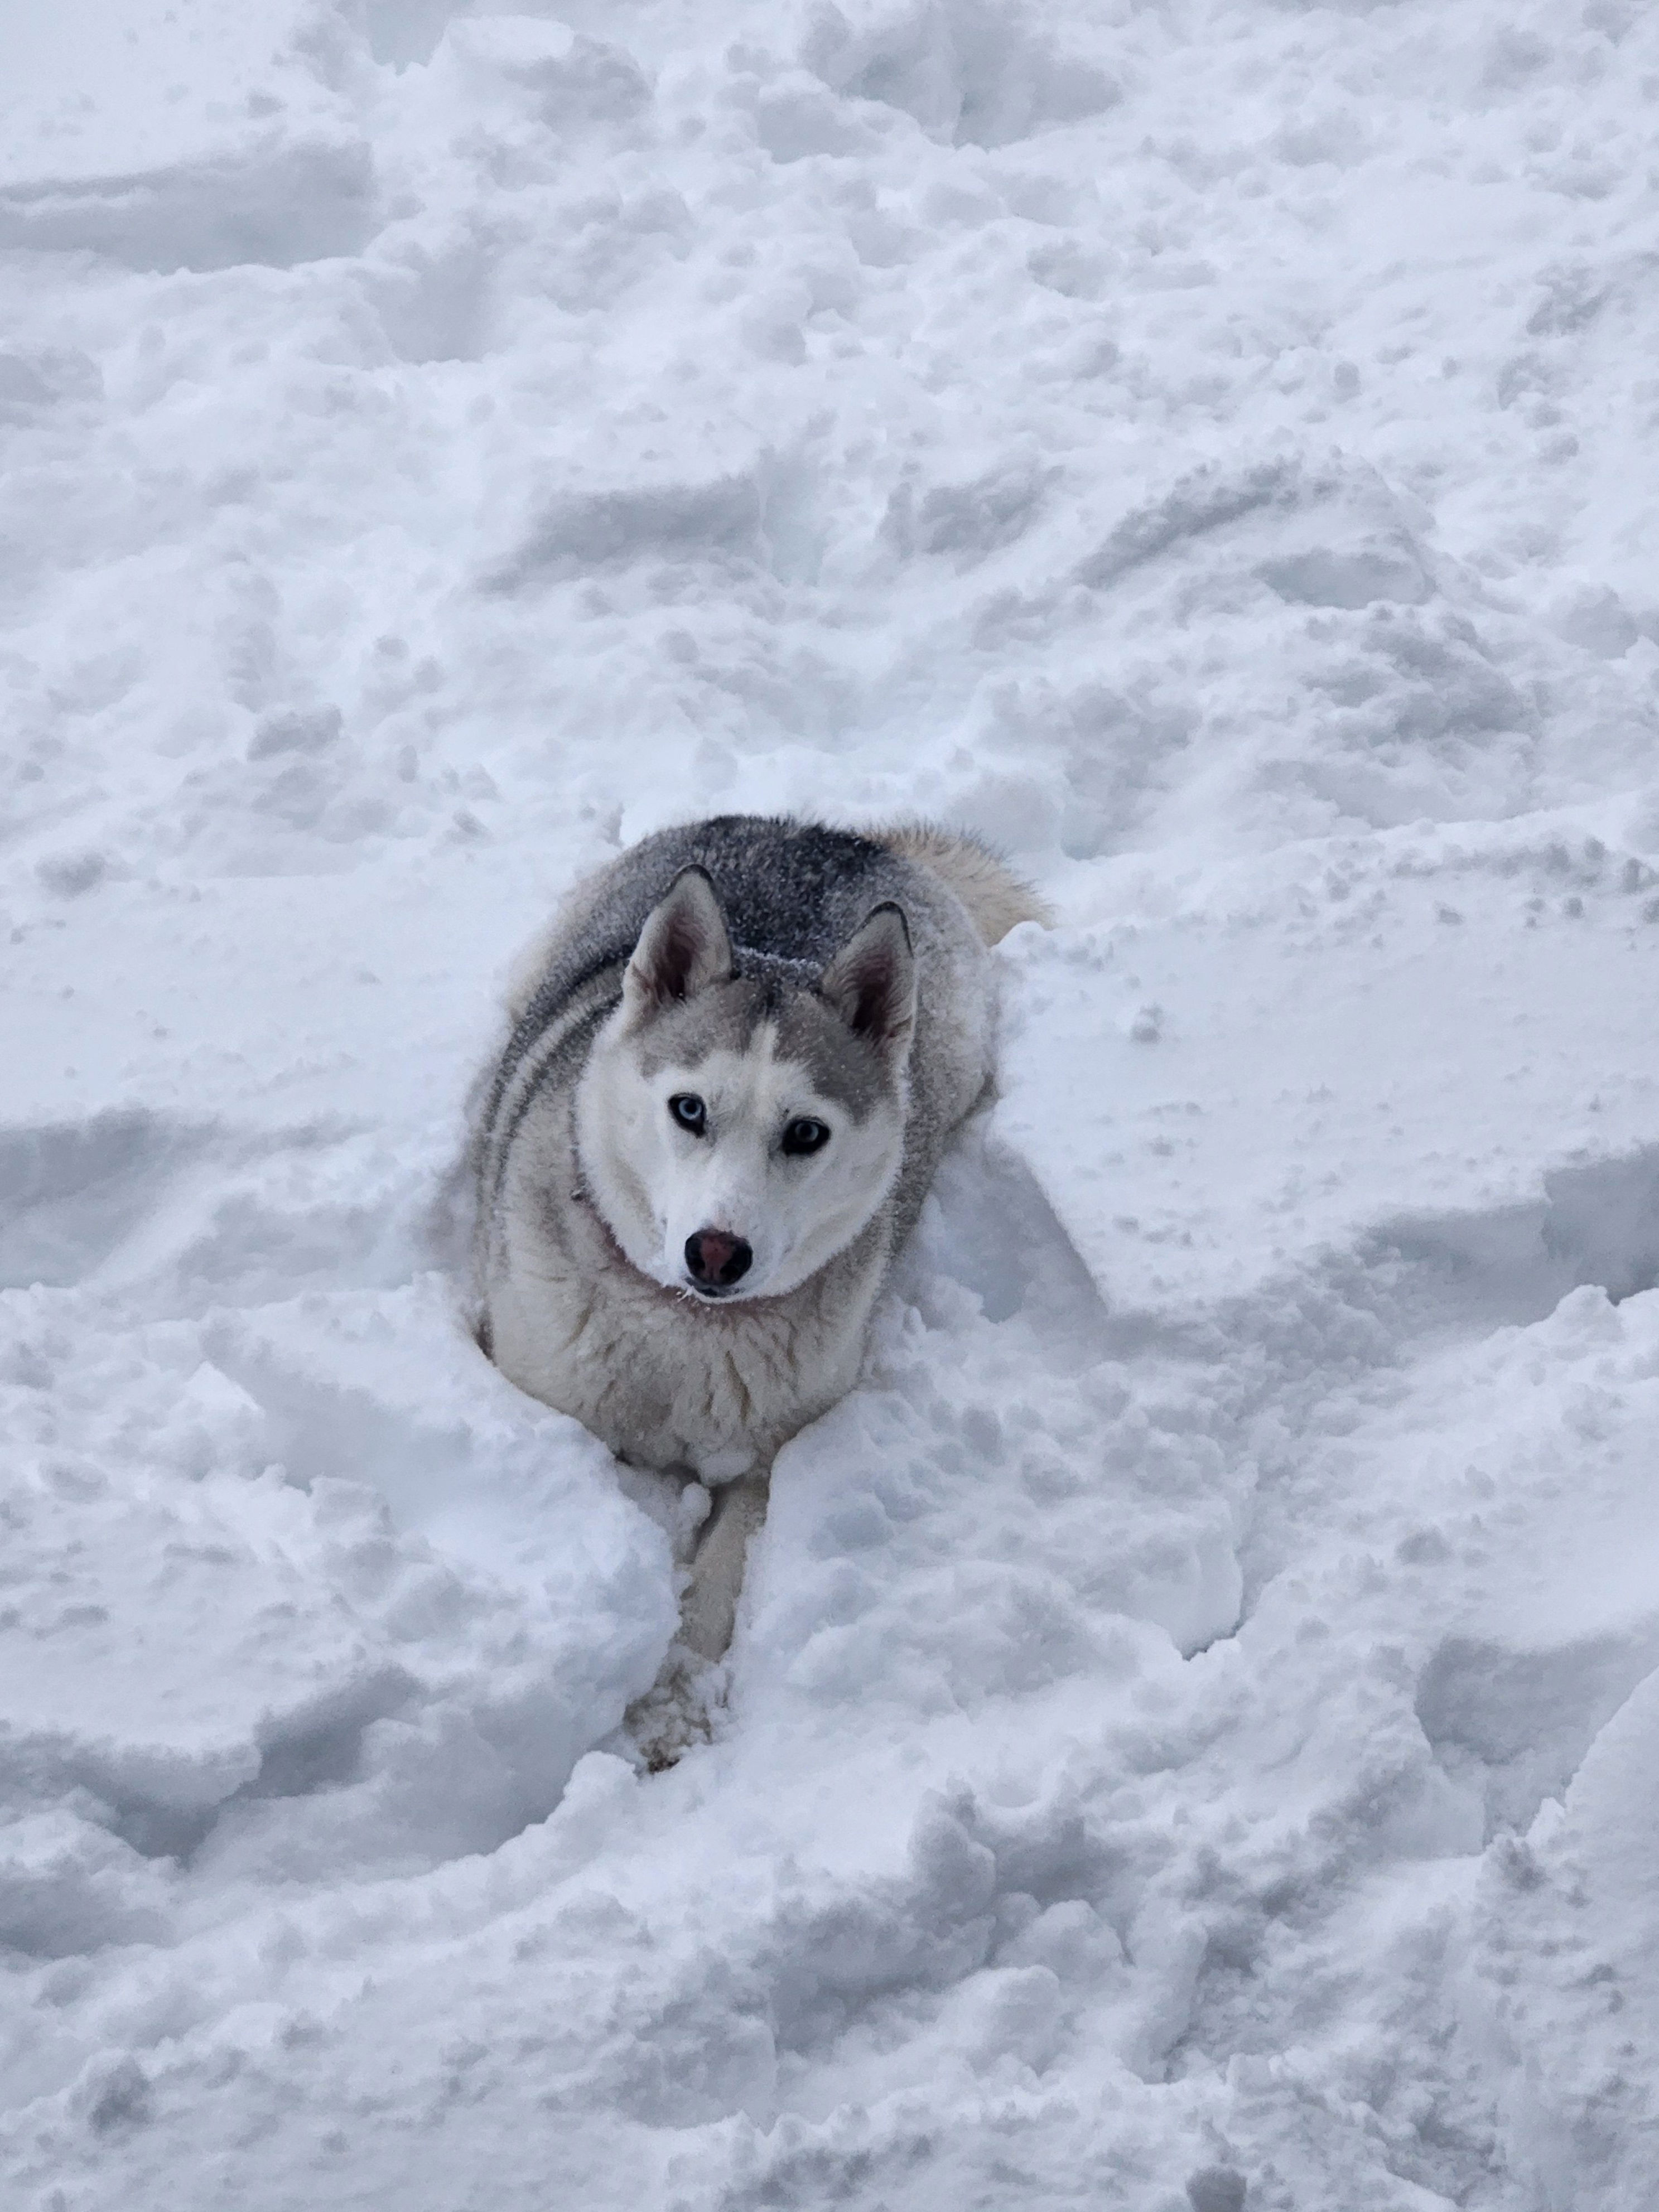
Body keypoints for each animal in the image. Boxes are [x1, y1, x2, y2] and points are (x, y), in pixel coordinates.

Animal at [469, 814, 1039, 1663]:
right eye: (689, 1108)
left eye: (805, 1133)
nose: (716, 1251)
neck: (680, 1329)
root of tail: (834, 835)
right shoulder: (547, 1400)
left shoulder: (772, 1458)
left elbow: (719, 1579)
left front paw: (675, 1693)